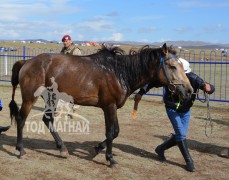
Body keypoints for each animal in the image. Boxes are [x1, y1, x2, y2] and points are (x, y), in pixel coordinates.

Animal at [8, 43, 192, 167]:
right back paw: (21, 150)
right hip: (30, 98)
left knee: (48, 120)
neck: (119, 72)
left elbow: (115, 132)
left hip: (51, 97)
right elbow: (111, 132)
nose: (189, 90)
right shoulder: (109, 106)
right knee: (21, 119)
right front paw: (110, 159)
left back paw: (62, 149)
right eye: (172, 66)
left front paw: (97, 148)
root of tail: (26, 62)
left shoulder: (111, 107)